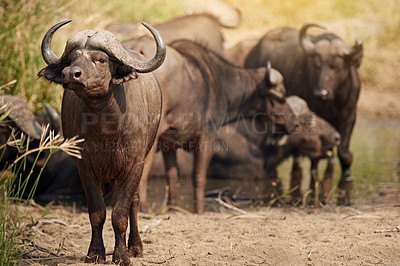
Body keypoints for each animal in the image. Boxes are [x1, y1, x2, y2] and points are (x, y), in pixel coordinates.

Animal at [38, 20, 166, 266]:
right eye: (72, 59)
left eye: (101, 60)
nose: (71, 74)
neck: (108, 129)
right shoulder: (84, 165)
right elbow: (97, 211)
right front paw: (95, 252)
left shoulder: (134, 165)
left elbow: (120, 214)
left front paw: (122, 255)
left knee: (135, 203)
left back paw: (135, 246)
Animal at [124, 35, 296, 214]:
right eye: (281, 97)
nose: (294, 123)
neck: (220, 83)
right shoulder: (207, 136)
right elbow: (199, 176)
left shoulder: (169, 143)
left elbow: (172, 176)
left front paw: (173, 205)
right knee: (142, 174)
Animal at [245, 23, 364, 205]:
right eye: (316, 64)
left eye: (336, 66)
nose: (321, 93)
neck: (333, 101)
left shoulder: (350, 116)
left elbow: (344, 153)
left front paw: (345, 174)